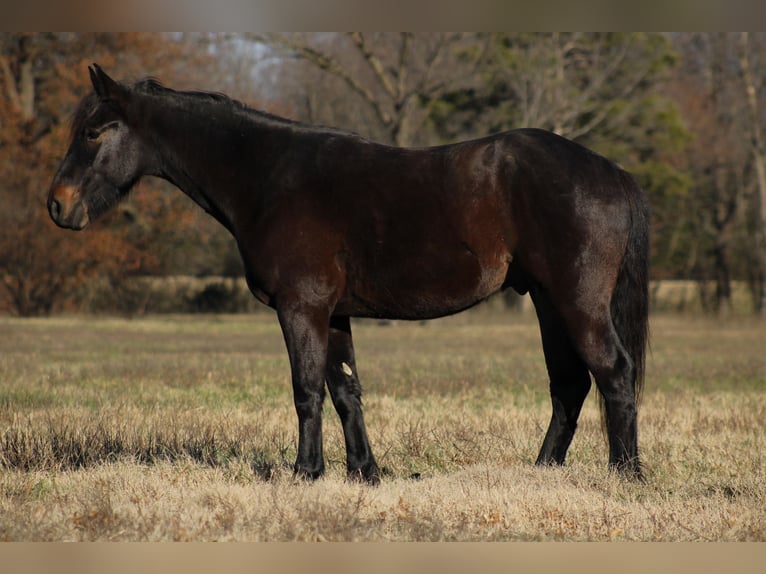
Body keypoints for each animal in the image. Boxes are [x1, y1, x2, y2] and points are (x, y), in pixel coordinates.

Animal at [47, 64, 649, 483]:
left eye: (96, 132)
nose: (57, 206)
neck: (269, 177)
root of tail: (611, 171)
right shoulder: (333, 314)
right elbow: (345, 390)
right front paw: (364, 473)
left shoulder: (302, 308)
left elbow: (307, 388)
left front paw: (304, 473)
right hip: (548, 301)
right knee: (570, 384)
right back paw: (543, 470)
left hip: (577, 302)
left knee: (613, 373)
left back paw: (625, 476)